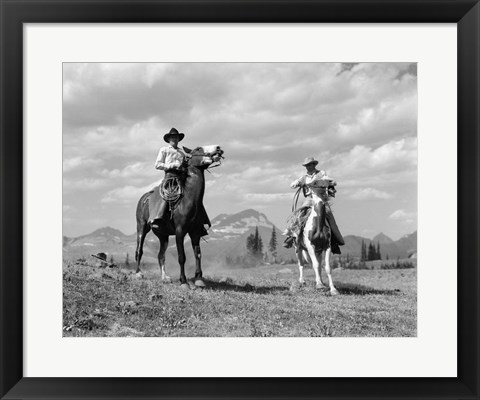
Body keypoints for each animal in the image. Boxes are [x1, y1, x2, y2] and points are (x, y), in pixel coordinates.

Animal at [134, 145, 224, 290]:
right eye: (198, 148)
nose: (218, 148)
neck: (188, 200)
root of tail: (144, 198)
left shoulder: (195, 232)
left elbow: (198, 254)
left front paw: (199, 279)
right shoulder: (180, 231)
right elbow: (182, 257)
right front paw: (183, 282)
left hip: (163, 235)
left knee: (161, 255)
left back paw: (165, 277)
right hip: (142, 228)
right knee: (139, 250)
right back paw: (138, 273)